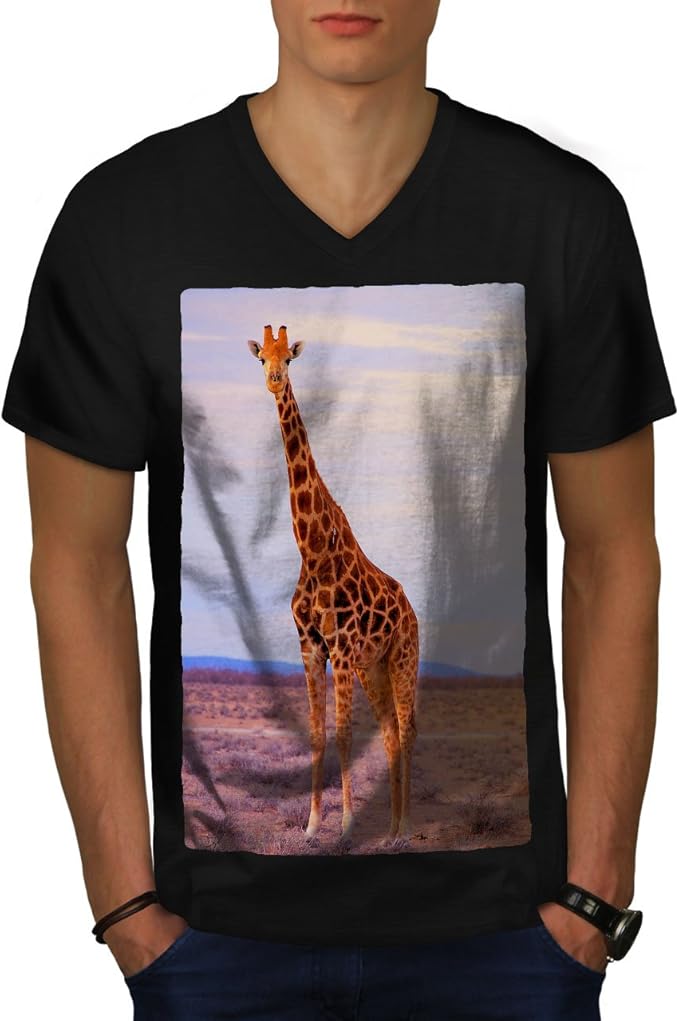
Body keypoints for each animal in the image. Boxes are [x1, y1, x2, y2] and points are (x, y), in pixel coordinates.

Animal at [247, 324, 419, 841]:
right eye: (261, 357)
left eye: (290, 357)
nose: (275, 380)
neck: (312, 550)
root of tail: (413, 610)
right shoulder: (310, 647)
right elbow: (317, 734)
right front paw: (311, 825)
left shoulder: (340, 648)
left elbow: (343, 733)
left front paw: (343, 825)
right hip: (373, 667)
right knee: (389, 733)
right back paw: (392, 828)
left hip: (402, 657)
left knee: (407, 730)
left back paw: (405, 826)